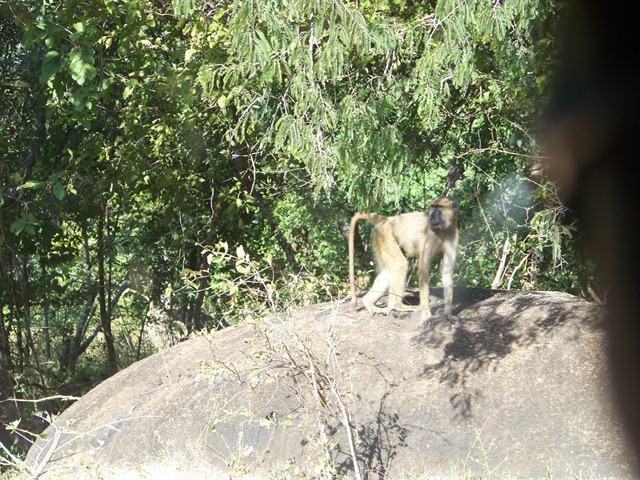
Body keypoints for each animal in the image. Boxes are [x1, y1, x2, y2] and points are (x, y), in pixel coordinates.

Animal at [348, 196, 459, 325]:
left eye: (438, 208)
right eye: (432, 207)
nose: (430, 218)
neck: (443, 229)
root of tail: (388, 219)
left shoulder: (452, 235)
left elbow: (447, 271)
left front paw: (449, 313)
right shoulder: (429, 236)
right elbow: (423, 271)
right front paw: (426, 314)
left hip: (380, 238)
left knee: (388, 271)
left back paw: (368, 302)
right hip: (385, 235)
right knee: (400, 264)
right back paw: (396, 305)